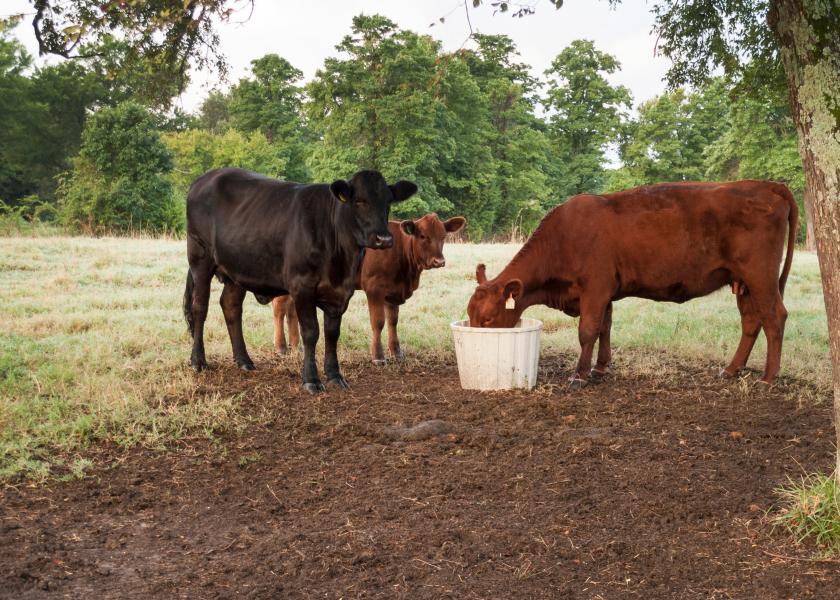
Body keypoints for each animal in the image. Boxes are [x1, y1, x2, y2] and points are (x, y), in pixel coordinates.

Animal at [183, 168, 417, 393]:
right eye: (359, 201)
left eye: (388, 202)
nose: (384, 239)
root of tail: (203, 179)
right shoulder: (302, 286)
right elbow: (311, 332)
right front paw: (311, 380)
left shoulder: (342, 292)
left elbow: (332, 333)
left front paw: (335, 376)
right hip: (200, 257)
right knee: (199, 307)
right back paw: (198, 361)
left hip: (236, 270)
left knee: (231, 306)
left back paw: (244, 361)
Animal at [272, 213, 466, 363]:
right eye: (423, 236)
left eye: (443, 236)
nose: (439, 261)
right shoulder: (374, 288)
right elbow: (378, 321)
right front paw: (378, 356)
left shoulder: (392, 292)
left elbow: (393, 321)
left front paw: (397, 353)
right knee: (280, 309)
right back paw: (281, 348)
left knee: (292, 311)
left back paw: (296, 347)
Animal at [467, 181, 798, 386]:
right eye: (470, 315)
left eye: (489, 318)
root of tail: (767, 185)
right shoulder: (604, 293)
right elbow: (605, 327)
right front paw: (601, 367)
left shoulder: (595, 288)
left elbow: (588, 330)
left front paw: (580, 375)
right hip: (744, 282)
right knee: (751, 321)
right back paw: (731, 370)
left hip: (761, 276)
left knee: (774, 317)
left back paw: (768, 377)